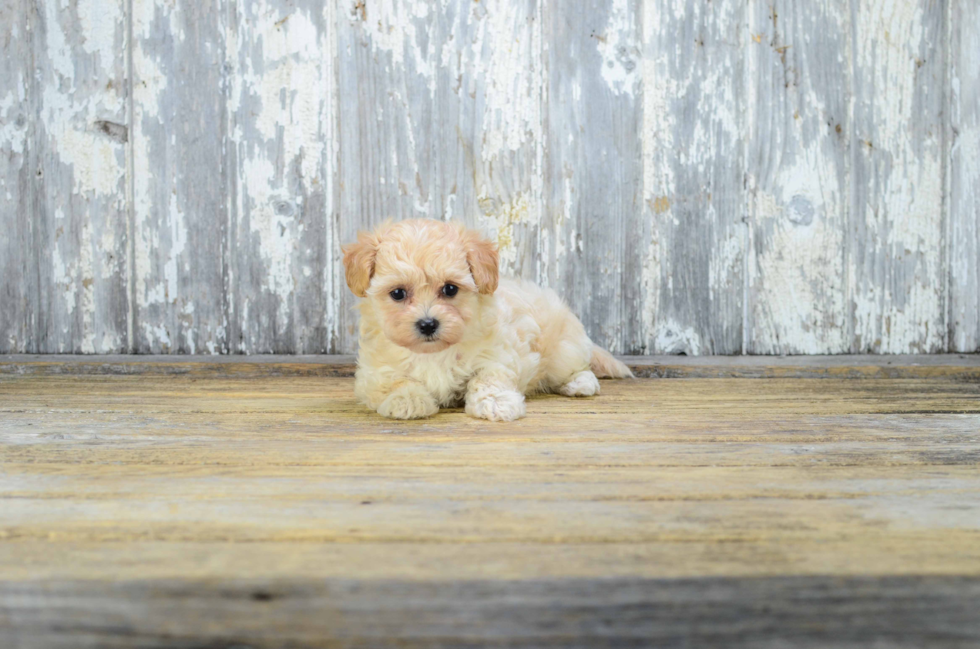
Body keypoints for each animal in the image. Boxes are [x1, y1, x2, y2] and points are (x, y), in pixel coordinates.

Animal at [344, 218, 632, 420]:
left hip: (563, 349)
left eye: (450, 289)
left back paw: (579, 383)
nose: (427, 324)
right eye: (398, 293)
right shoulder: (374, 372)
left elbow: (488, 378)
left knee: (579, 367)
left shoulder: (497, 354)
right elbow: (395, 382)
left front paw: (496, 403)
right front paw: (407, 400)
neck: (434, 353)